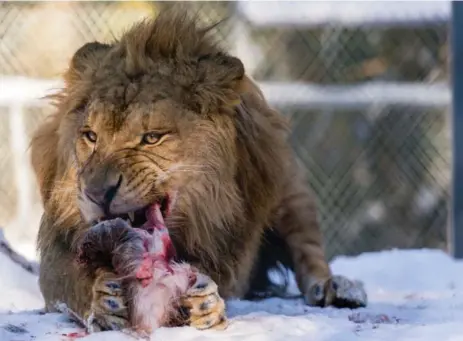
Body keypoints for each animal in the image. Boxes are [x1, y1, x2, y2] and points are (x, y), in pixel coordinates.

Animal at [29, 9, 370, 330]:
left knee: (310, 255)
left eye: (152, 138)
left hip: (288, 190)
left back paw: (337, 287)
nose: (97, 193)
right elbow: (70, 283)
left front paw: (204, 303)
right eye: (90, 136)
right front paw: (104, 300)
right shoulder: (58, 251)